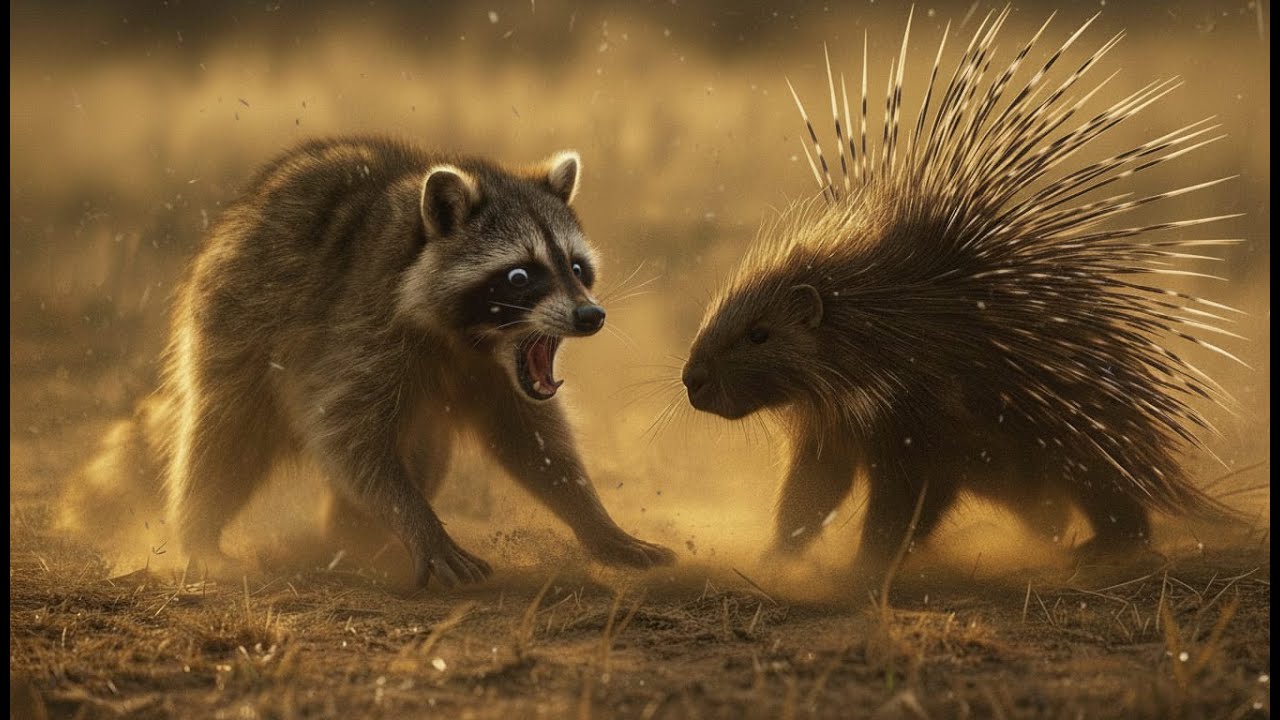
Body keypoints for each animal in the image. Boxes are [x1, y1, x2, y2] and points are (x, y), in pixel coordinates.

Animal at [122, 136, 674, 588]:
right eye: (520, 276)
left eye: (577, 268)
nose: (590, 316)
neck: (472, 342)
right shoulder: (361, 327)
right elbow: (346, 436)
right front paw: (420, 525)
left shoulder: (503, 380)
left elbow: (535, 443)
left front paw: (597, 522)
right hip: (234, 322)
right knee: (224, 437)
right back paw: (200, 533)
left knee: (425, 446)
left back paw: (354, 537)